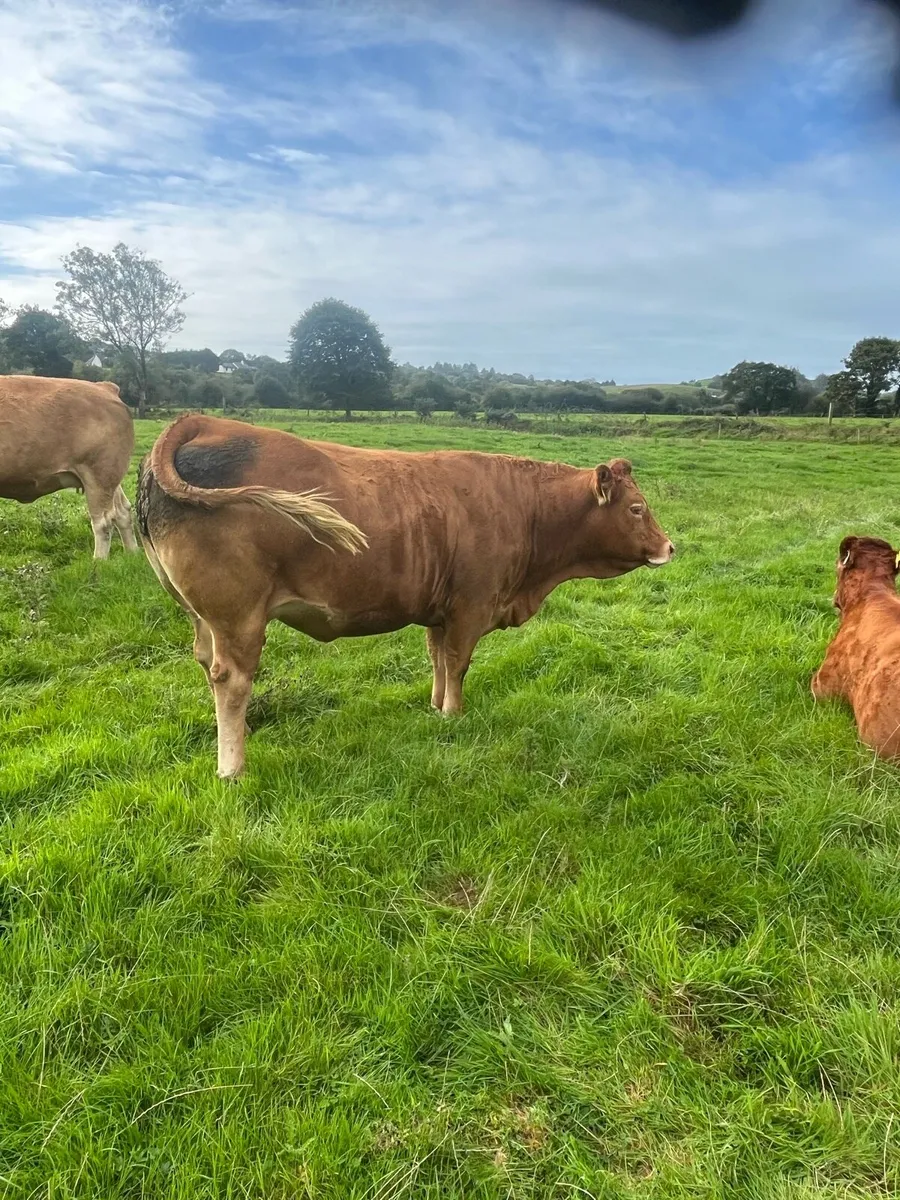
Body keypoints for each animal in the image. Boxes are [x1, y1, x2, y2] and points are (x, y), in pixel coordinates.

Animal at [0, 375, 138, 558]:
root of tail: (104, 387)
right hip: (111, 476)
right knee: (123, 511)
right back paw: (132, 554)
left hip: (98, 475)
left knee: (104, 522)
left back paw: (99, 561)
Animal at [137, 413, 675, 778]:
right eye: (636, 508)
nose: (670, 546)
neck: (525, 508)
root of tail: (201, 421)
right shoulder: (471, 605)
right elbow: (458, 662)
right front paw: (454, 715)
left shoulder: (441, 609)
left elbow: (437, 658)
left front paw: (436, 709)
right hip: (239, 616)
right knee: (231, 681)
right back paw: (233, 767)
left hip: (202, 615)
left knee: (206, 663)